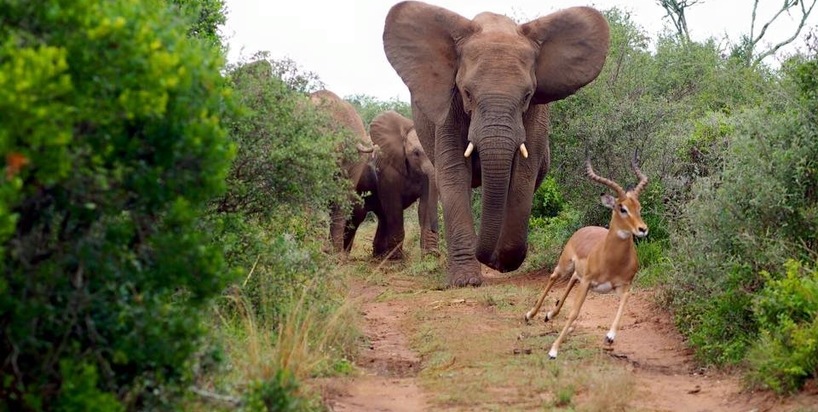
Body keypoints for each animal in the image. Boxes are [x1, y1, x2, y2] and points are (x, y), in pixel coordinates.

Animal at [382, 2, 604, 286]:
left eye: (528, 95)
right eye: (467, 93)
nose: (485, 257)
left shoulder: (536, 114)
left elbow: (522, 175)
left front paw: (501, 262)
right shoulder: (449, 107)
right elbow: (454, 172)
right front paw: (466, 281)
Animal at [524, 153, 648, 358]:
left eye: (639, 207)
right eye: (622, 208)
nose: (643, 229)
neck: (612, 261)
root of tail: (583, 229)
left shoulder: (621, 285)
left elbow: (625, 299)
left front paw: (610, 337)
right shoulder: (589, 282)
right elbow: (574, 312)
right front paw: (553, 350)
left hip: (580, 277)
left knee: (572, 279)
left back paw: (549, 315)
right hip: (565, 266)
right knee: (553, 277)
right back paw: (530, 315)